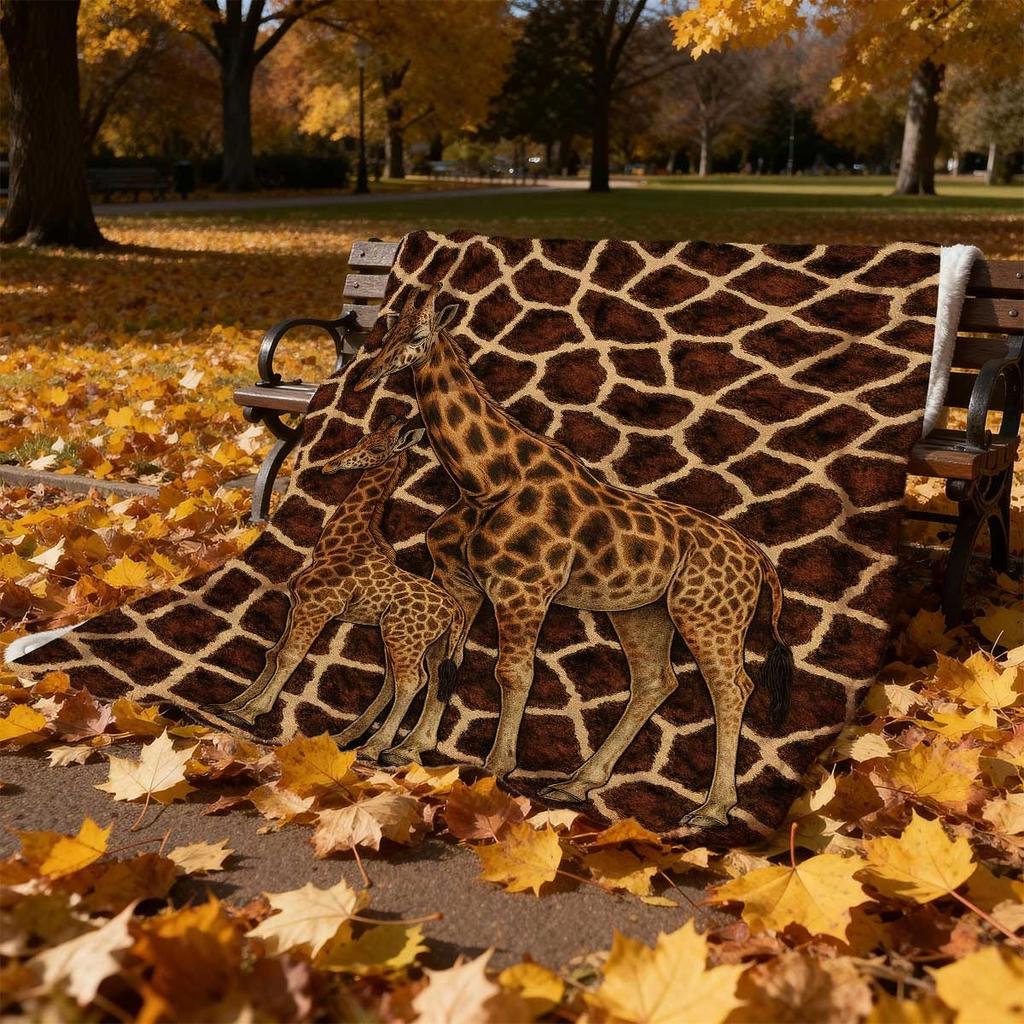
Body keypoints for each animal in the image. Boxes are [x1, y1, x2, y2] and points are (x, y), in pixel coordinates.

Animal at [211, 416, 465, 761]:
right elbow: (273, 652)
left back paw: (375, 748)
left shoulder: (318, 608)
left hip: (404, 638)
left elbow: (290, 656)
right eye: (360, 439)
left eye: (376, 448)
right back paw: (364, 742)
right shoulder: (298, 605)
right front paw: (231, 704)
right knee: (416, 680)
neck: (339, 543)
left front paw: (250, 713)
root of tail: (454, 609)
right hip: (417, 641)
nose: (331, 466)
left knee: (410, 683)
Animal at [353, 285, 793, 828]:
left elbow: (513, 672)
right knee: (654, 681)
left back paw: (711, 810)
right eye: (386, 331)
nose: (366, 377)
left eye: (416, 335)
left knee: (732, 688)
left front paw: (493, 768)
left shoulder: (522, 588)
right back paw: (578, 782)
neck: (484, 482)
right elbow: (445, 661)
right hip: (642, 612)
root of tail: (760, 561)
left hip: (708, 616)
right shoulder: (458, 580)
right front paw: (409, 750)